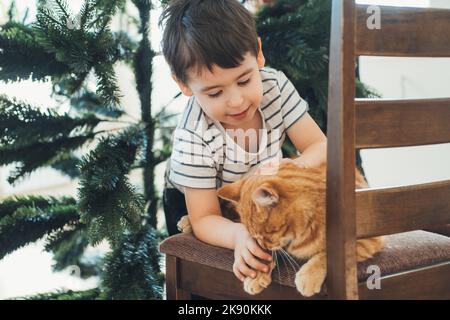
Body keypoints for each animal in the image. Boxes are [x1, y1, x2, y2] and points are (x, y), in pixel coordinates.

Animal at [177, 162, 384, 298]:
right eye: (256, 236)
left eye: (266, 235)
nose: (263, 244)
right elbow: (259, 253)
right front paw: (257, 274)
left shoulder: (366, 240)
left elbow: (326, 254)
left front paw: (308, 276)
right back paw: (188, 222)